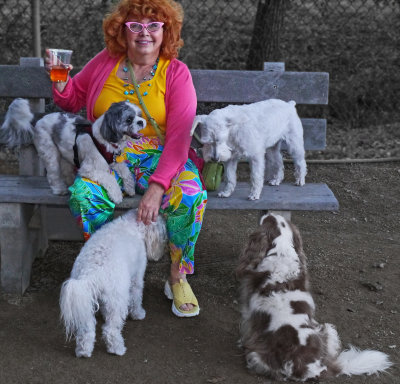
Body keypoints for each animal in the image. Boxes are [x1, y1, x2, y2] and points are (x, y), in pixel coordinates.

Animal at [1, 97, 147, 202]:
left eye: (139, 115)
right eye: (129, 119)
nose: (141, 121)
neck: (104, 139)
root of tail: (39, 118)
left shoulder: (114, 160)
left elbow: (126, 172)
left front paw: (130, 188)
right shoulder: (89, 169)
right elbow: (109, 178)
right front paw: (116, 195)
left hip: (66, 154)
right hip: (49, 152)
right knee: (53, 173)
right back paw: (59, 189)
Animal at [58, 208, 166, 358]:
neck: (133, 225)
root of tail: (91, 272)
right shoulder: (136, 278)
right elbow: (136, 298)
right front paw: (138, 314)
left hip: (84, 302)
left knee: (87, 330)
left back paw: (83, 351)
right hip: (117, 300)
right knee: (110, 329)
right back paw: (117, 348)